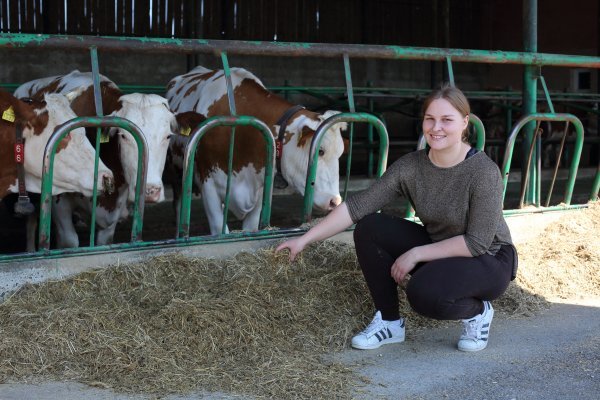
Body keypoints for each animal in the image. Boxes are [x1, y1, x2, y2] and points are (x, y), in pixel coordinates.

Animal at [14, 71, 178, 247]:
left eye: (168, 136)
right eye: (123, 136)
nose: (150, 191)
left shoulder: (111, 218)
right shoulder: (60, 203)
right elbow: (69, 241)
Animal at [166, 65, 350, 234]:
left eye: (340, 153)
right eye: (321, 151)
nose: (335, 201)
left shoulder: (260, 186)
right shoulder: (208, 184)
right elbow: (219, 229)